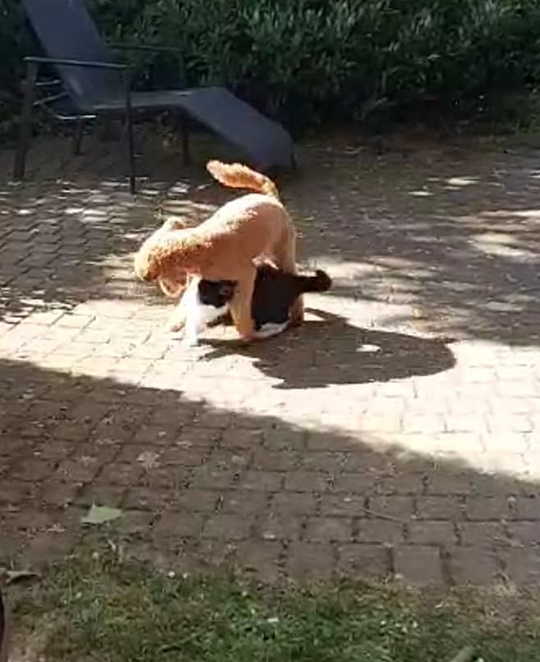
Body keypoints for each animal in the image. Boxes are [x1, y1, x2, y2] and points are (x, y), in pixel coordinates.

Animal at [134, 161, 302, 341]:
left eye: (161, 277)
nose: (170, 291)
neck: (198, 247)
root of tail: (270, 198)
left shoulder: (245, 277)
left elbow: (241, 315)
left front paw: (249, 332)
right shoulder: (199, 280)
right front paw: (175, 325)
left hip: (281, 252)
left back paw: (297, 317)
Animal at [171, 262, 332, 346]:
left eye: (207, 297)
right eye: (201, 293)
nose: (199, 300)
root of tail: (292, 280)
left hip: (267, 306)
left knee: (283, 320)